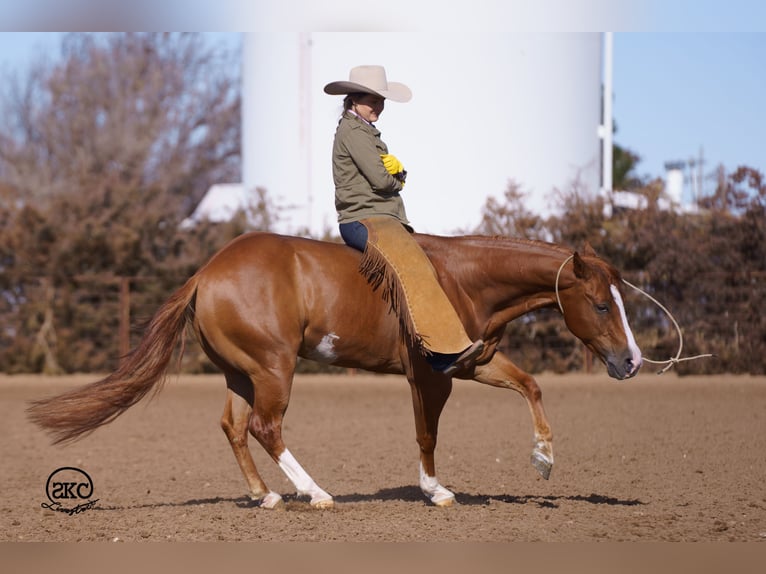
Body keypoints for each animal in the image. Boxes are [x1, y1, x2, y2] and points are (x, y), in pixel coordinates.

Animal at [28, 231, 642, 508]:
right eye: (602, 305)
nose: (631, 361)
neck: (461, 280)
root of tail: (206, 273)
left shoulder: (476, 363)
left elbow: (530, 386)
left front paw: (543, 460)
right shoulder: (432, 376)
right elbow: (427, 433)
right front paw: (434, 490)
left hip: (241, 374)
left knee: (234, 426)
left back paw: (265, 496)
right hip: (273, 369)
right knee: (265, 427)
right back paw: (315, 493)